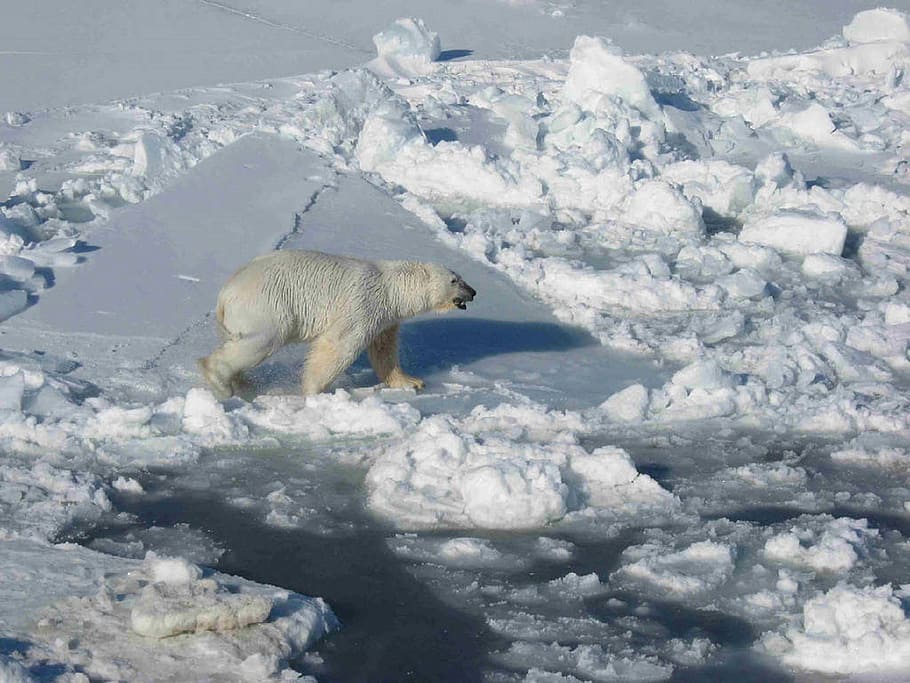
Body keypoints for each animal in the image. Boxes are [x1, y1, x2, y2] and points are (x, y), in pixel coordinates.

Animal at [198, 249, 476, 398]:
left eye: (461, 278)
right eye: (454, 280)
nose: (473, 292)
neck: (391, 287)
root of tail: (225, 294)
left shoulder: (385, 318)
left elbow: (384, 351)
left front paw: (412, 381)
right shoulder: (363, 303)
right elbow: (340, 344)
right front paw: (313, 390)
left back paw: (244, 384)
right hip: (267, 306)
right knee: (263, 340)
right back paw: (220, 381)